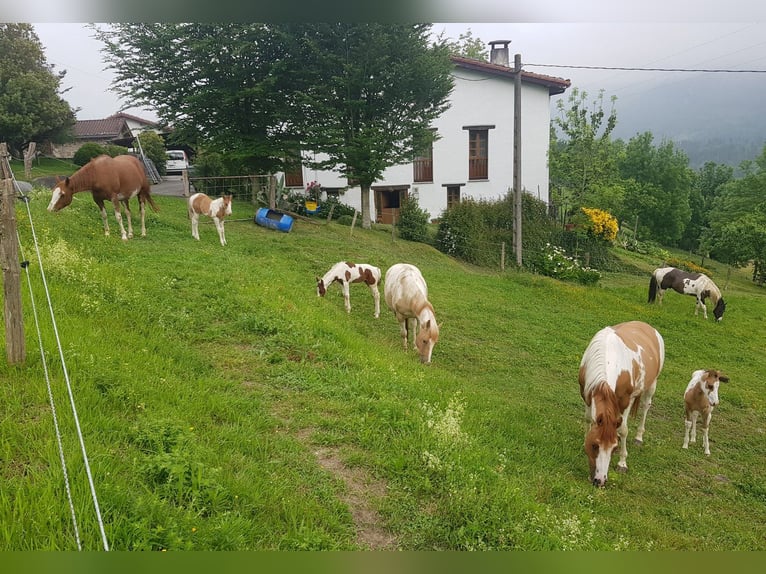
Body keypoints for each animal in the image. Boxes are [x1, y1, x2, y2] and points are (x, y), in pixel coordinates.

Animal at [579, 320, 665, 487]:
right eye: (594, 445)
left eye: (614, 448)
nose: (600, 480)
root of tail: (649, 327)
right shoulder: (586, 393)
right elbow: (588, 419)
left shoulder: (626, 400)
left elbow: (623, 430)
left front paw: (622, 463)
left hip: (652, 385)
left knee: (646, 406)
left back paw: (639, 437)